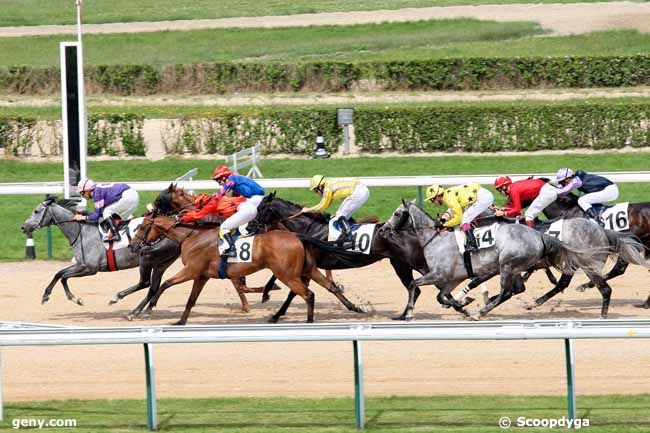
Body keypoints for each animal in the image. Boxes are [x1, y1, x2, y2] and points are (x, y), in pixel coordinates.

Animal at [382, 201, 600, 318]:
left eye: (396, 213)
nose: (383, 229)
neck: (436, 239)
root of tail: (539, 235)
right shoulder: (452, 278)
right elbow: (442, 296)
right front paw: (463, 304)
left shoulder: (439, 274)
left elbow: (413, 284)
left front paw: (409, 313)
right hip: (513, 267)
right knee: (517, 289)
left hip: (507, 266)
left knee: (507, 292)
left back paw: (483, 312)